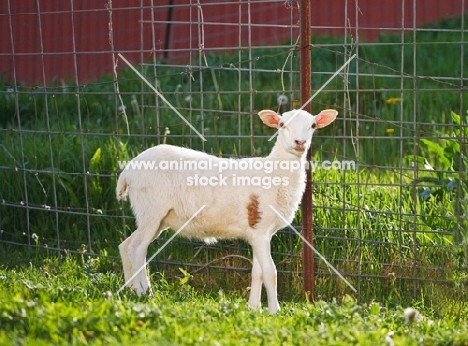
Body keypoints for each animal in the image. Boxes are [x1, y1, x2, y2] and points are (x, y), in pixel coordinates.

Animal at [116, 109, 336, 314]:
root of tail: (128, 171)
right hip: (152, 208)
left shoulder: (260, 232)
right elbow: (270, 273)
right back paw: (145, 293)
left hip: (155, 217)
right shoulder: (259, 226)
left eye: (313, 125)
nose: (300, 142)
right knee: (137, 248)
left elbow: (258, 272)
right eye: (282, 125)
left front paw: (254, 307)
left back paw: (129, 291)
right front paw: (274, 310)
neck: (274, 172)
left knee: (126, 245)